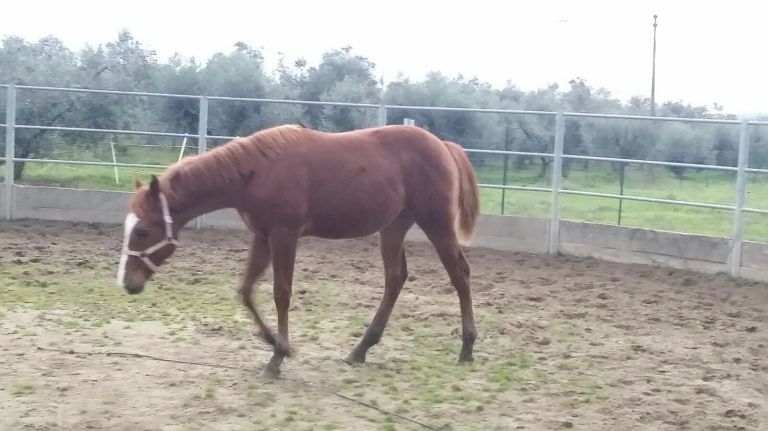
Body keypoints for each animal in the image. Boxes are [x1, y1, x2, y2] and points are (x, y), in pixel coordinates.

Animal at [116, 124, 480, 378]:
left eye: (143, 231)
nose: (128, 284)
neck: (256, 173)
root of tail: (444, 146)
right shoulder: (262, 237)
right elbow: (246, 290)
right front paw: (277, 346)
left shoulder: (284, 236)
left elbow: (281, 293)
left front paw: (278, 358)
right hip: (393, 228)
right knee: (395, 278)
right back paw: (361, 349)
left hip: (436, 225)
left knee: (459, 274)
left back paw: (466, 348)